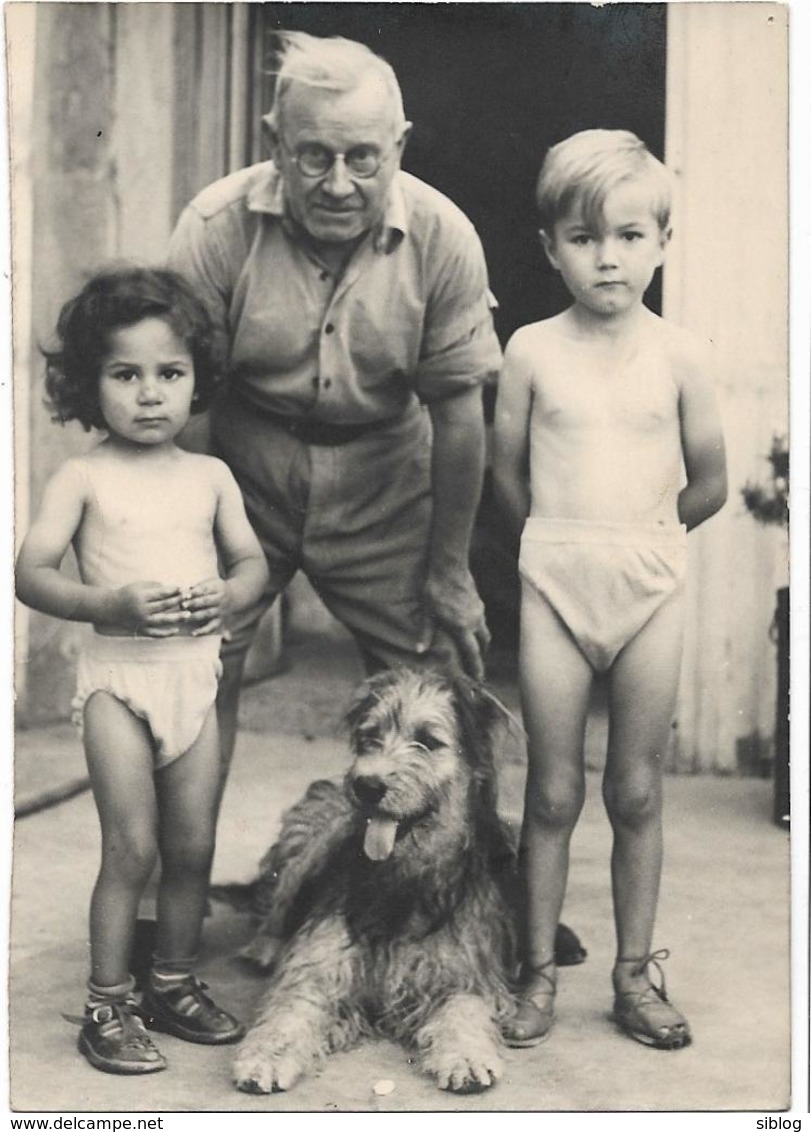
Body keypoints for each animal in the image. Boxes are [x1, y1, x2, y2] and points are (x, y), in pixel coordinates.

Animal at [227, 665, 584, 1091]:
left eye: (427, 741)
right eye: (370, 737)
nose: (367, 786)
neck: (404, 878)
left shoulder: (465, 971)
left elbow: (464, 1009)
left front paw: (466, 1056)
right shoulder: (319, 968)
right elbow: (291, 1009)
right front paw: (266, 1056)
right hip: (312, 841)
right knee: (275, 900)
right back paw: (265, 946)